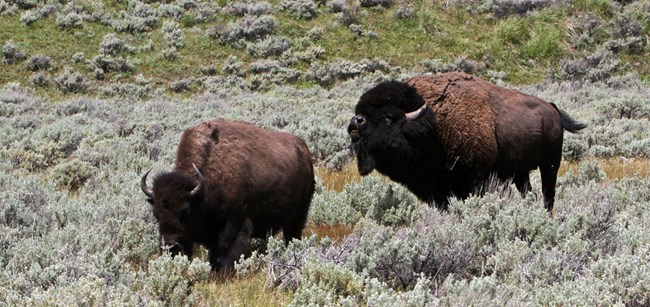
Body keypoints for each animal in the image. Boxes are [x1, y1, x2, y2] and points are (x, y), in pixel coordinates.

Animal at [140, 119, 316, 274]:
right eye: (156, 214)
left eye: (185, 211)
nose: (169, 248)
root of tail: (304, 150)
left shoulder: (234, 223)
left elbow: (225, 252)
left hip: (297, 216)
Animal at [346, 71, 584, 214]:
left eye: (388, 117)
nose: (355, 122)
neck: (434, 127)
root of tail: (552, 109)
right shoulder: (439, 190)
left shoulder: (475, 182)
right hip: (521, 173)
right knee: (529, 191)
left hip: (550, 165)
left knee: (548, 194)